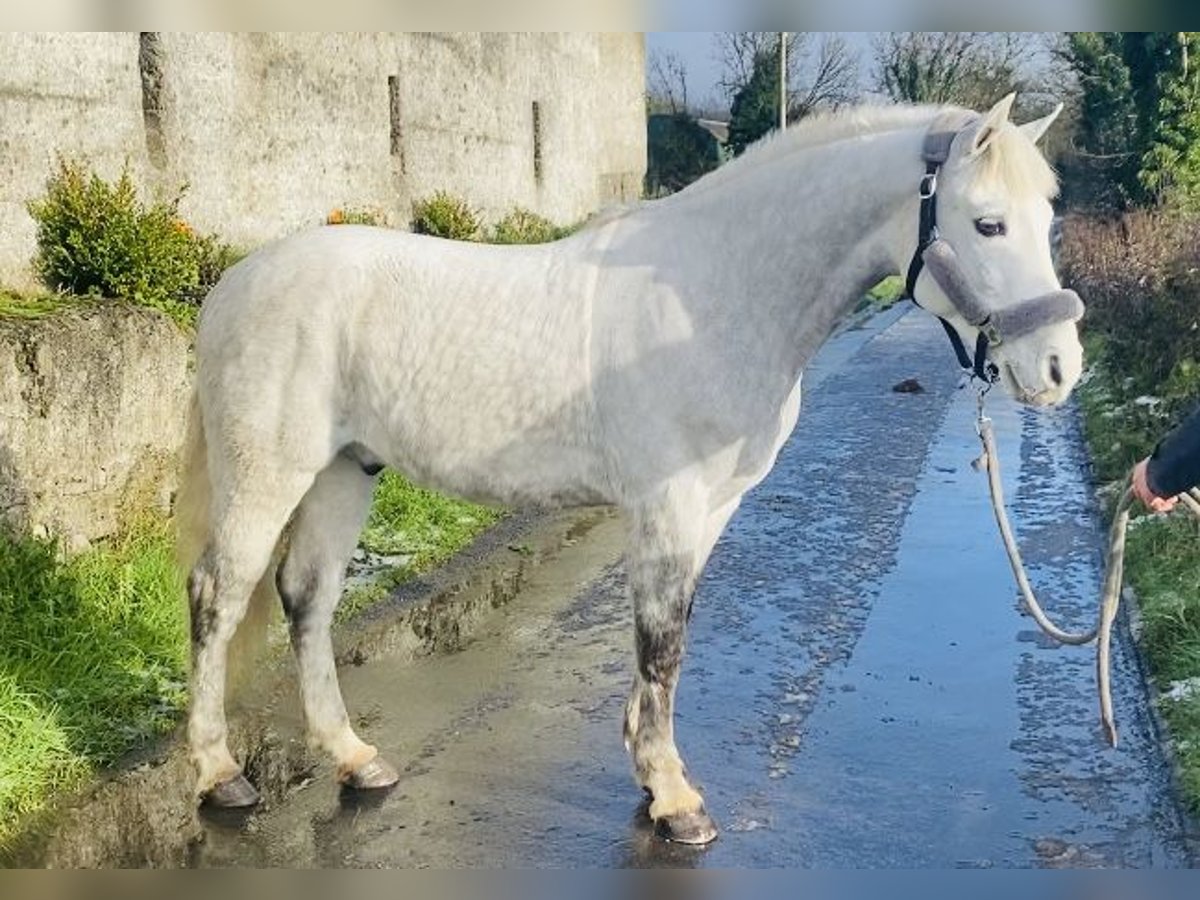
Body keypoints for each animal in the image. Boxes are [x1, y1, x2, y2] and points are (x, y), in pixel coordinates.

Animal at [180, 97, 1089, 844]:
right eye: (987, 225)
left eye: (1047, 218)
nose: (1057, 369)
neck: (718, 292)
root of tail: (236, 282)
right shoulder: (667, 504)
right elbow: (662, 642)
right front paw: (676, 802)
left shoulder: (710, 509)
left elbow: (669, 634)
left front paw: (654, 780)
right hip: (269, 474)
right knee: (218, 597)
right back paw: (220, 777)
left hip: (345, 470)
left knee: (307, 598)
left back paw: (354, 757)